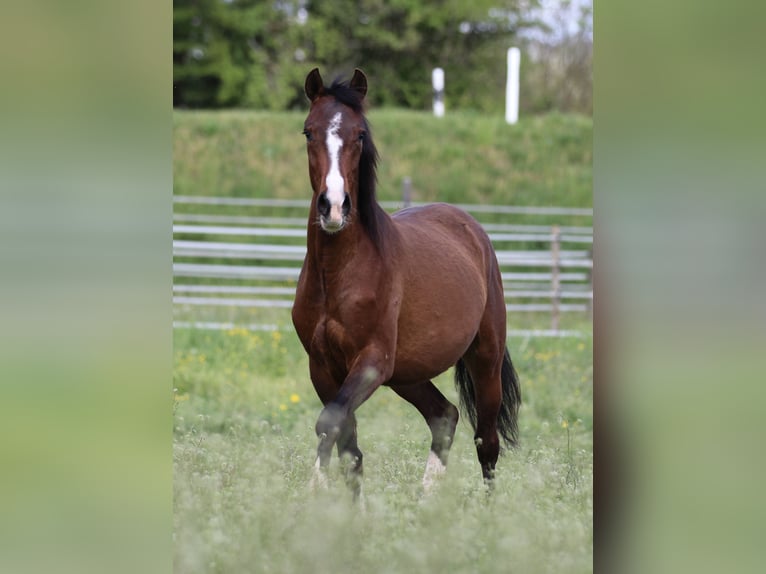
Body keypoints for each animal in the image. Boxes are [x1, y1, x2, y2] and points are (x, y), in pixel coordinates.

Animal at [291, 68, 521, 497]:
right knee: (444, 416)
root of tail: (472, 229)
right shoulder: (323, 367)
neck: (339, 275)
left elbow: (330, 424)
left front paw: (313, 488)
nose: (334, 207)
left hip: (484, 361)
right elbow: (348, 445)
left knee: (487, 441)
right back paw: (425, 502)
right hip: (408, 374)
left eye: (359, 134)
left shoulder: (371, 361)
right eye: (309, 131)